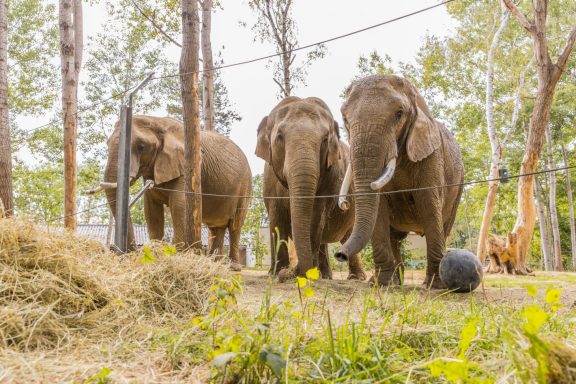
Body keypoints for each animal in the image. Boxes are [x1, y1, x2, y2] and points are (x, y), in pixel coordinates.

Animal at [100, 115, 252, 270]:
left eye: (141, 146)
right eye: (107, 144)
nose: (130, 255)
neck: (157, 121)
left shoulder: (186, 167)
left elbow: (179, 205)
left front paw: (176, 256)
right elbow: (151, 209)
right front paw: (155, 254)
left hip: (245, 186)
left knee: (235, 225)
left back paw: (233, 267)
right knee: (216, 228)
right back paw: (214, 264)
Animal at [255, 97, 364, 280]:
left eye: (325, 139)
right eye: (279, 136)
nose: (289, 273)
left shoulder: (330, 178)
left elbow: (316, 217)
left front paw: (305, 274)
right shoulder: (269, 180)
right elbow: (277, 219)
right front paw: (275, 273)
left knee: (348, 236)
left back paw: (355, 277)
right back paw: (325, 275)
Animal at [336, 75, 466, 288]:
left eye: (399, 114)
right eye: (345, 118)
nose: (339, 255)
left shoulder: (432, 156)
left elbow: (429, 205)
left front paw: (436, 285)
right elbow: (379, 209)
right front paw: (380, 283)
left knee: (445, 226)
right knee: (394, 237)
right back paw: (395, 281)